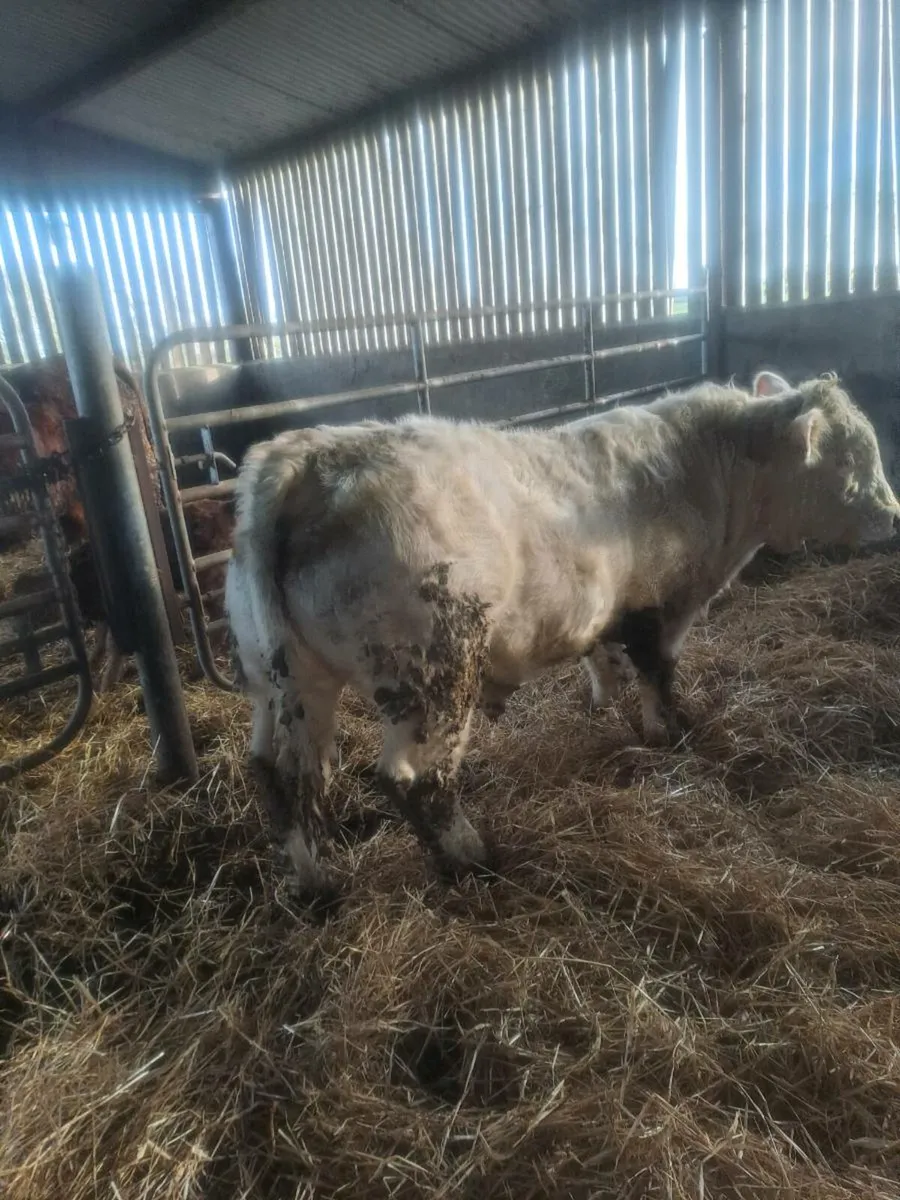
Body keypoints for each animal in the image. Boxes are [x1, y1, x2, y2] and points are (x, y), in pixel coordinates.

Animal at [225, 373, 900, 895]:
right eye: (848, 458)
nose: (892, 515)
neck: (712, 470)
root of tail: (308, 455)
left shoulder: (604, 609)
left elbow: (603, 659)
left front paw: (603, 704)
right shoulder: (661, 605)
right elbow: (657, 673)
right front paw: (669, 733)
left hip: (280, 676)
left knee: (283, 773)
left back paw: (316, 882)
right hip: (434, 672)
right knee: (415, 778)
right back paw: (472, 859)